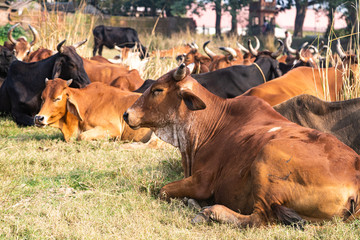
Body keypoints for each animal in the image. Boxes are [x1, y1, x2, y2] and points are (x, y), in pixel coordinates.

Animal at [124, 62, 360, 228]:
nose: (127, 114)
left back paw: (209, 212)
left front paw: (193, 202)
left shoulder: (202, 182)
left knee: (258, 219)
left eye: (157, 90)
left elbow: (162, 190)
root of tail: (354, 182)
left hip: (267, 159)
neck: (211, 123)